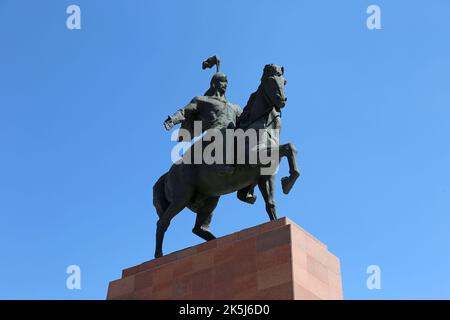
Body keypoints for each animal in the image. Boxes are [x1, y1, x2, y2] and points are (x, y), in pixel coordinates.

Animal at [154, 63, 298, 258]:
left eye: (284, 81)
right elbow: (289, 148)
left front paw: (278, 210)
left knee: (197, 228)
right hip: (182, 198)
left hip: (210, 199)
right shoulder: (255, 157)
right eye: (270, 80)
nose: (281, 99)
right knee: (162, 222)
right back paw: (159, 255)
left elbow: (271, 202)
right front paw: (288, 183)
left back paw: (217, 242)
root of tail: (168, 174)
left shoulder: (265, 175)